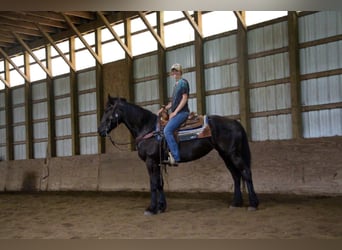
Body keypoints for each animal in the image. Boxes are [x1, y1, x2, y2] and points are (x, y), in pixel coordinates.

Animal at [97, 95, 258, 215]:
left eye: (108, 109)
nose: (100, 130)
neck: (148, 128)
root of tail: (235, 123)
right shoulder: (158, 162)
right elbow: (160, 183)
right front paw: (161, 207)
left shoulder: (150, 161)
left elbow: (153, 184)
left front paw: (151, 209)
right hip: (225, 155)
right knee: (236, 176)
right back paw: (235, 203)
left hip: (233, 154)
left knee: (246, 172)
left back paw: (253, 204)